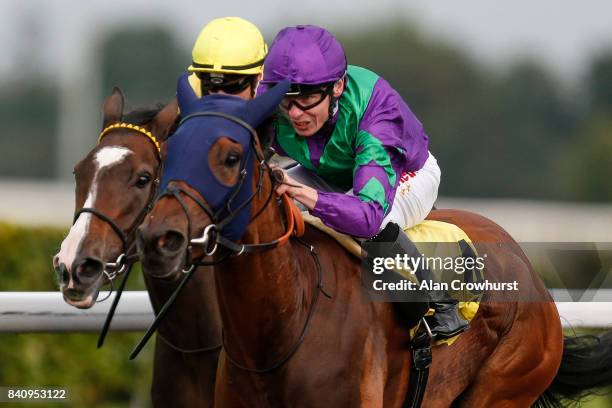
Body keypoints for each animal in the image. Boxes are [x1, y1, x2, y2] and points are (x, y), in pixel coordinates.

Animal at [139, 77, 612, 408]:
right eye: (169, 153)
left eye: (230, 157)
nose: (159, 238)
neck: (282, 326)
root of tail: (528, 269)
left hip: (507, 383)